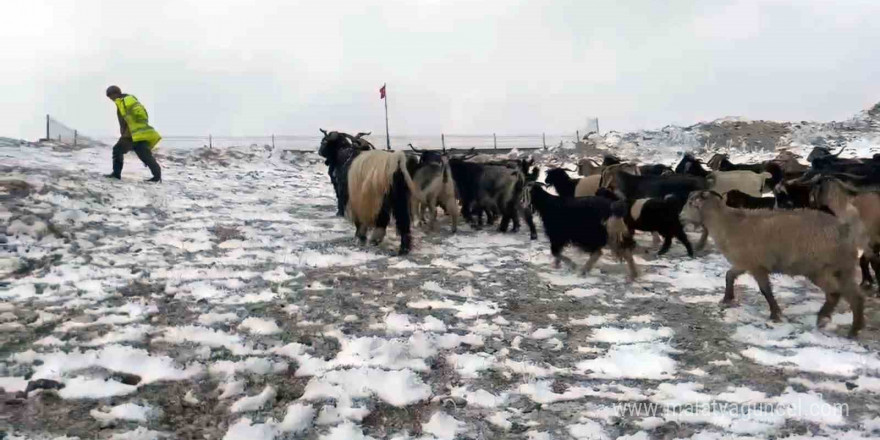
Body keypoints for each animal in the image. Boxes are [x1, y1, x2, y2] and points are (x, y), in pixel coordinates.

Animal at [680, 191, 868, 338]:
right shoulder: (745, 262)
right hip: (834, 269)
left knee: (851, 296)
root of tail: (845, 230)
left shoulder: (757, 265)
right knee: (836, 294)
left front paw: (775, 314)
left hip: (828, 268)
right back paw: (823, 319)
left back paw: (853, 330)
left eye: (690, 203)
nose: (680, 217)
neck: (727, 224)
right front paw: (727, 299)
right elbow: (729, 275)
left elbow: (765, 290)